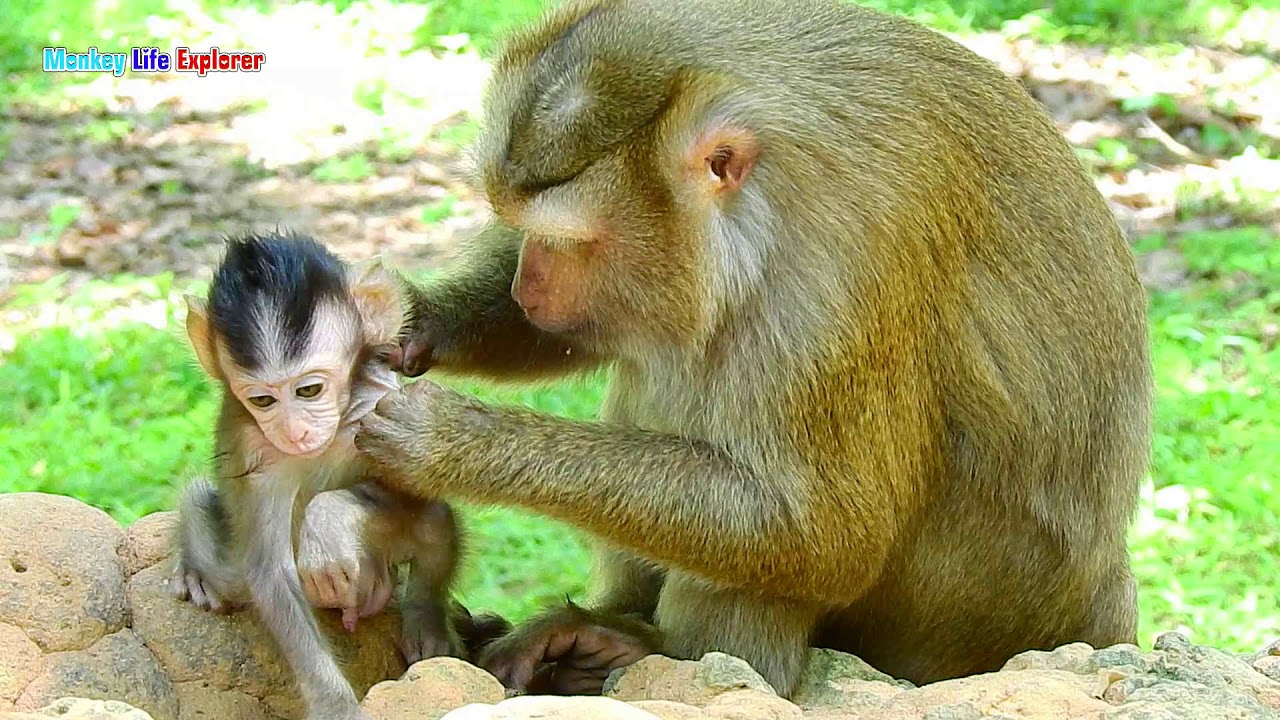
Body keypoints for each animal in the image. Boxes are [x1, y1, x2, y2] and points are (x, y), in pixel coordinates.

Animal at [169, 230, 469, 720]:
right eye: (263, 400)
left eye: (309, 390)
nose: (295, 432)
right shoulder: (255, 449)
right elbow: (271, 571)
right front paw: (334, 704)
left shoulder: (382, 401)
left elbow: (417, 487)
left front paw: (330, 519)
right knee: (201, 507)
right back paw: (194, 571)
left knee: (434, 522)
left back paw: (427, 626)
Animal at [352, 0, 1153, 699]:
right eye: (522, 228)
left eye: (573, 240)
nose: (528, 285)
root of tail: (1101, 604)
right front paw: (414, 321)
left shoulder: (844, 268)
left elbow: (827, 532)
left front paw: (454, 442)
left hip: (965, 608)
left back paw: (658, 649)